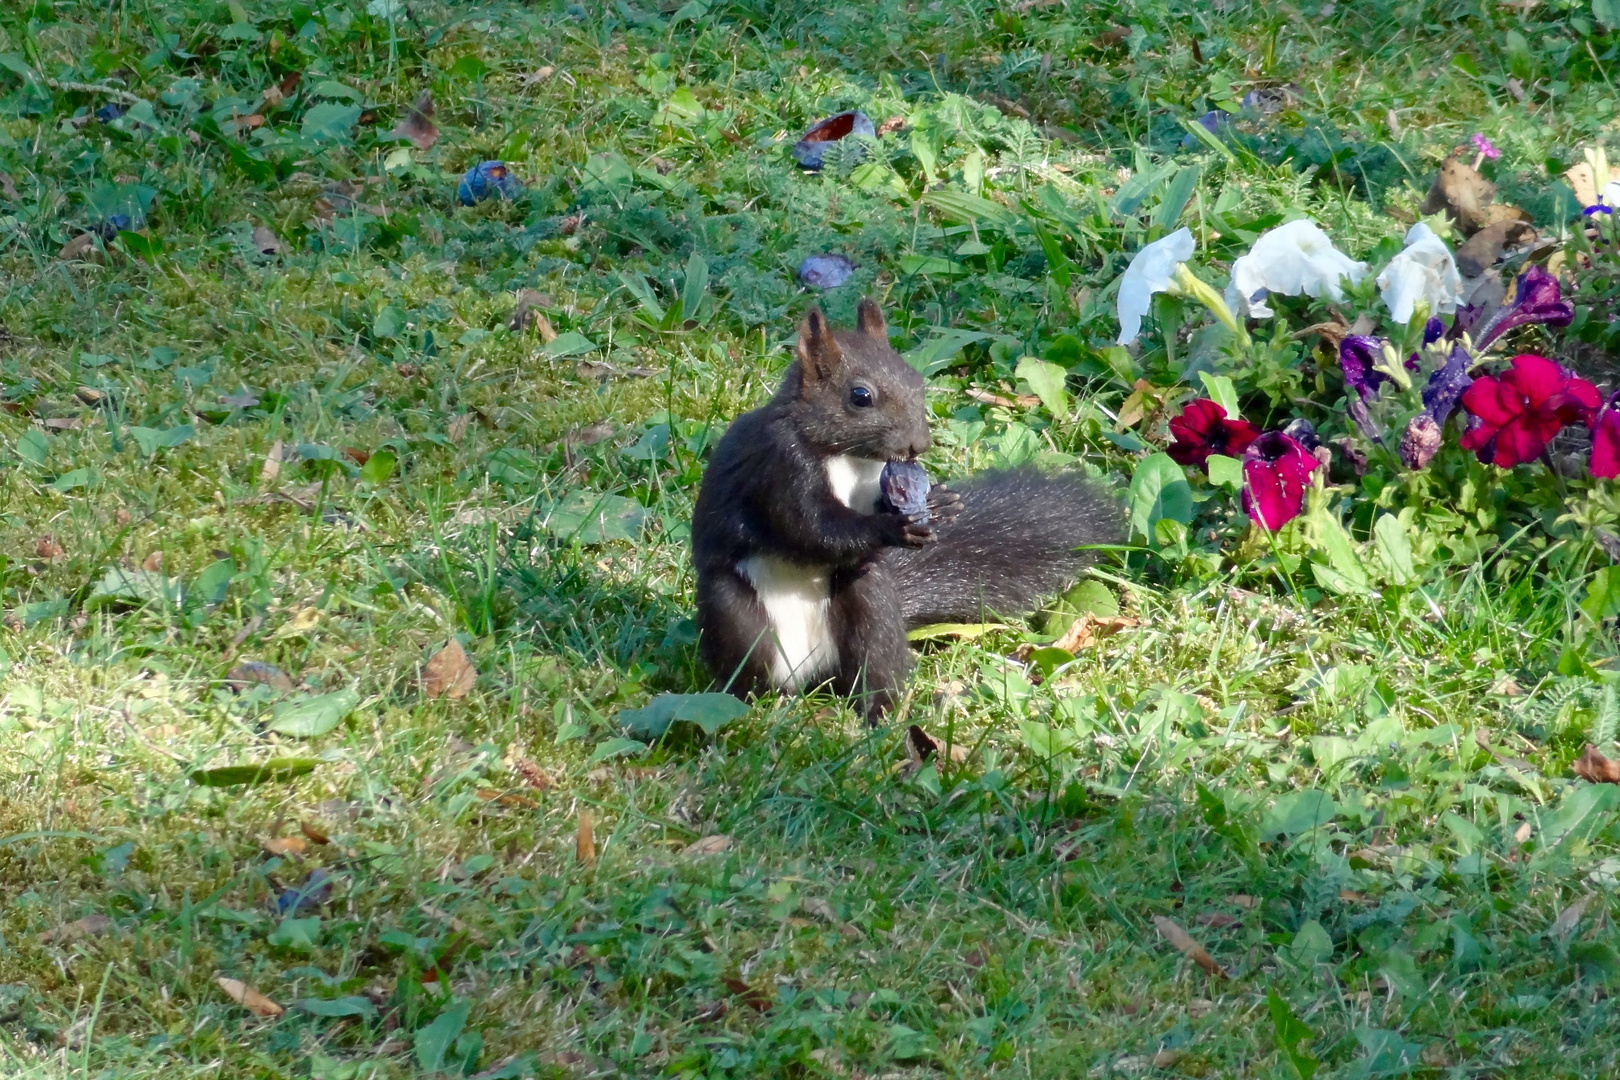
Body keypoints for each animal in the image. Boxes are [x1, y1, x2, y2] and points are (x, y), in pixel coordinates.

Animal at [690, 297, 1121, 718]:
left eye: (916, 381)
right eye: (860, 396)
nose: (918, 445)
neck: (846, 456)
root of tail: (808, 675)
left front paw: (939, 500)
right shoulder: (779, 468)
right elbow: (809, 528)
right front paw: (890, 528)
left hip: (868, 600)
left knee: (873, 657)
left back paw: (883, 709)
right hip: (734, 616)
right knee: (749, 666)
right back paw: (757, 707)